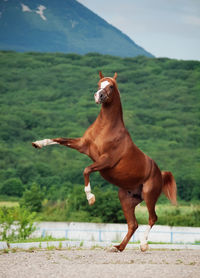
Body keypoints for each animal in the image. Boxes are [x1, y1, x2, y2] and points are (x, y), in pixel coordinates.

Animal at [32, 70, 177, 252]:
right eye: (98, 84)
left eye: (111, 86)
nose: (98, 96)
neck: (106, 129)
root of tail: (160, 173)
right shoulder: (82, 145)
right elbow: (59, 139)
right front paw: (38, 143)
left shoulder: (106, 161)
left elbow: (86, 169)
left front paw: (91, 198)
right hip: (126, 199)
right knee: (133, 224)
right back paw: (118, 247)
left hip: (149, 195)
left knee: (152, 218)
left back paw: (143, 245)